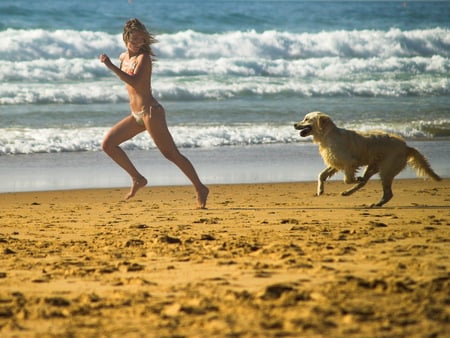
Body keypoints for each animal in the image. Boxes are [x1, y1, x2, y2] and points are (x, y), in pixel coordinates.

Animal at [294, 111, 442, 206]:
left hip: (386, 170)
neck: (328, 135)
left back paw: (376, 203)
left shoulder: (349, 162)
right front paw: (320, 190)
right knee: (366, 182)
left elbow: (347, 179)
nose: (294, 124)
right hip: (373, 166)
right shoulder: (336, 162)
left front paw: (354, 179)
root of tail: (406, 146)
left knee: (387, 193)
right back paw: (349, 192)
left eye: (306, 119)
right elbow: (321, 175)